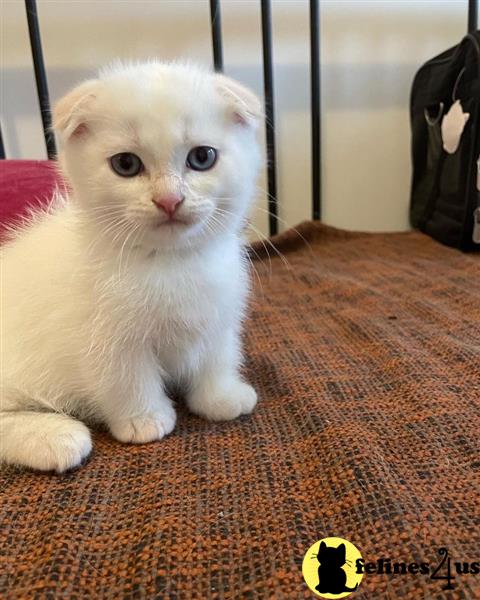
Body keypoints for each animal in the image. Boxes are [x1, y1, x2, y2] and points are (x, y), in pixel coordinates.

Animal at [0, 62, 262, 474]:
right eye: (125, 164)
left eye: (202, 157)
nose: (169, 199)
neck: (170, 262)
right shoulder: (106, 335)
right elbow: (126, 378)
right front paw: (145, 419)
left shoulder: (219, 314)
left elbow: (216, 354)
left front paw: (221, 397)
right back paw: (53, 437)